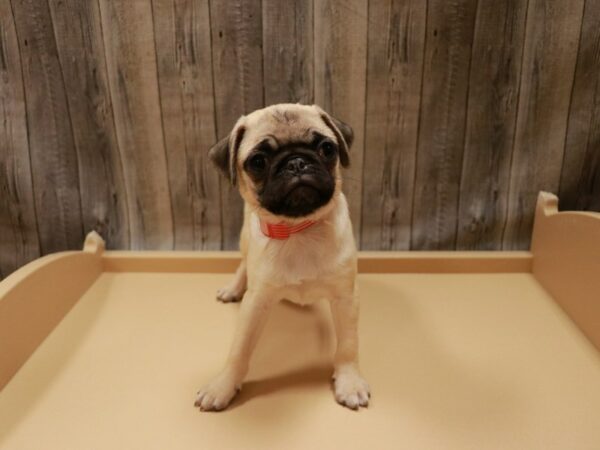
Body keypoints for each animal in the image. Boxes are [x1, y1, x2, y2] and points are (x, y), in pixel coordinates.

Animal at [195, 103, 368, 412]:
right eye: (258, 162)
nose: (296, 162)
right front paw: (223, 386)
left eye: (327, 148)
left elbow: (348, 345)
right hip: (244, 238)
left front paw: (349, 382)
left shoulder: (346, 297)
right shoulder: (256, 302)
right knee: (243, 263)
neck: (298, 229)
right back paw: (232, 288)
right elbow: (239, 350)